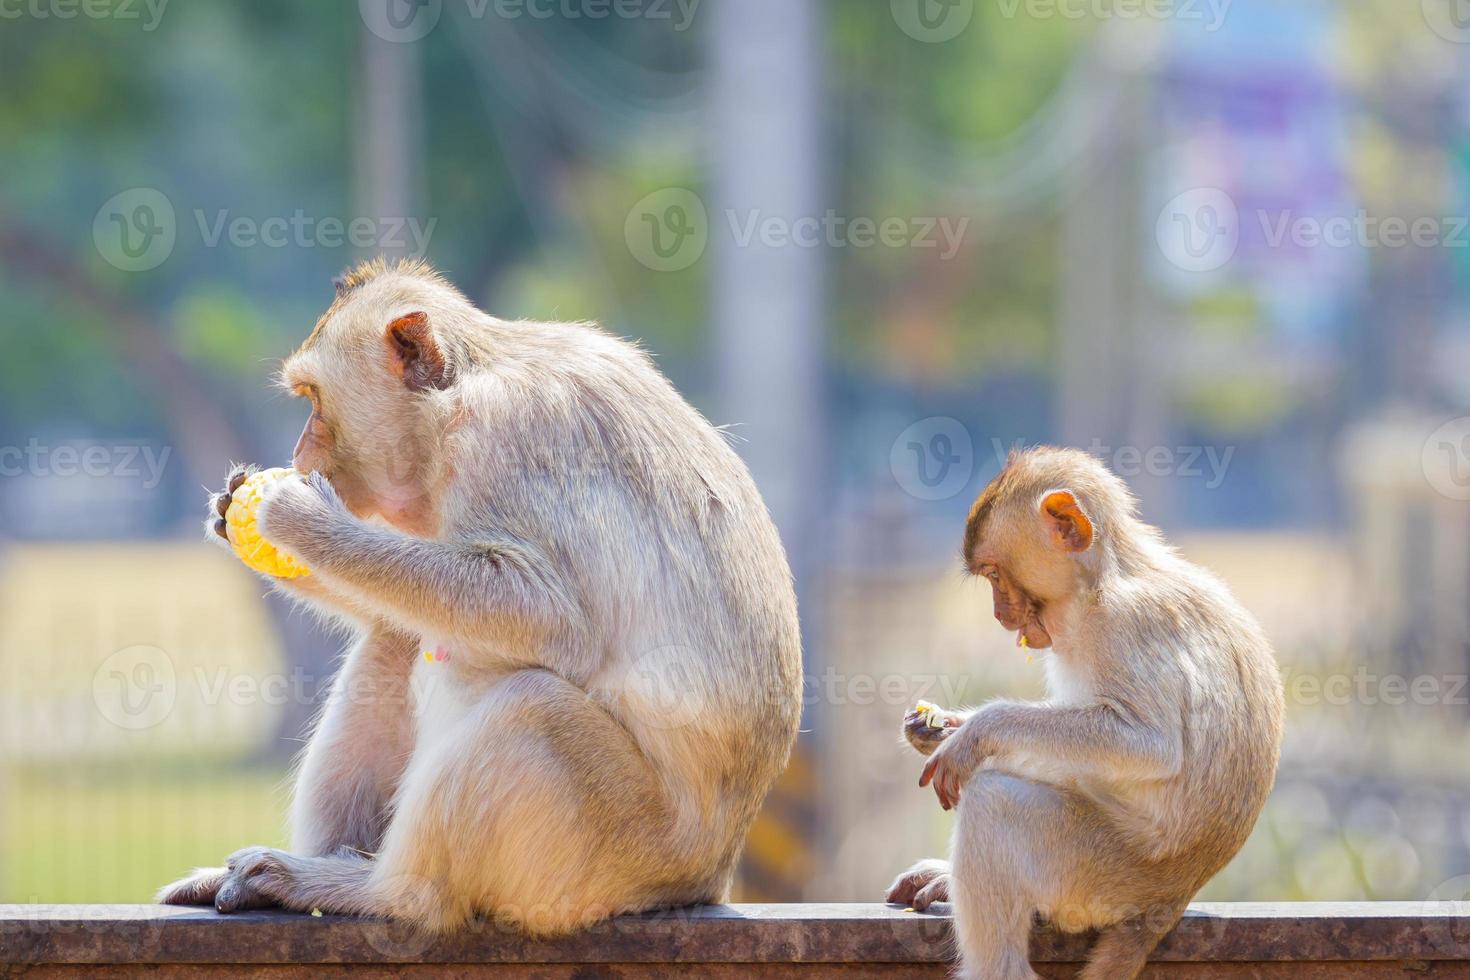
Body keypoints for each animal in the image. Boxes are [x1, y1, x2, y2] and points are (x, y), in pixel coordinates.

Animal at [160, 260, 805, 934]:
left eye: (314, 399)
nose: (298, 454)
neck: (461, 392)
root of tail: (710, 874)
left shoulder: (502, 437)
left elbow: (547, 615)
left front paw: (300, 518)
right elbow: (402, 607)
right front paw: (232, 511)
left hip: (618, 848)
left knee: (532, 705)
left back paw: (382, 892)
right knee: (397, 638)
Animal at [887, 449, 1281, 980]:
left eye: (995, 575)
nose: (999, 615)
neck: (1100, 582)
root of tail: (1169, 901)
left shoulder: (1125, 624)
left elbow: (1149, 745)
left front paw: (976, 732)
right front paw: (938, 728)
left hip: (1101, 875)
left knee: (996, 804)